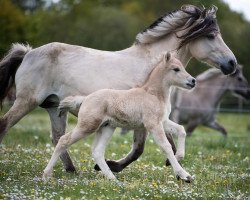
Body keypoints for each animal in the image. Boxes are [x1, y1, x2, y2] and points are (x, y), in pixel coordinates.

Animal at [0, 5, 236, 173]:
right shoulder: (144, 120)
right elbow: (140, 149)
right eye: (211, 36)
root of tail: (28, 53)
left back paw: (71, 170)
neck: (151, 66)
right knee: (5, 125)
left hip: (53, 107)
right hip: (26, 102)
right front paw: (109, 166)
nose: (232, 64)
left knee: (58, 137)